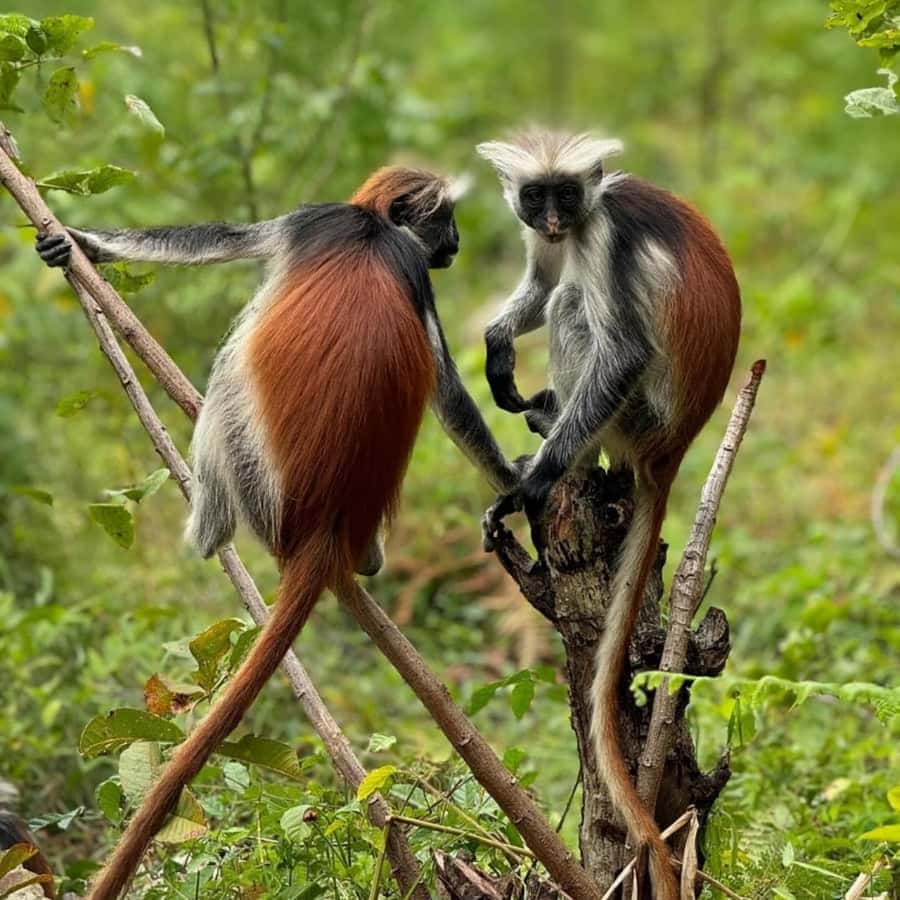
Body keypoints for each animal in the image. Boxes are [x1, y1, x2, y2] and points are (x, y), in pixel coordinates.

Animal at [37, 166, 519, 899]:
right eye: (447, 222)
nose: (458, 244)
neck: (372, 227)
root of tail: (326, 525)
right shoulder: (402, 264)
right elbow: (449, 392)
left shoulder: (311, 222)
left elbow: (225, 241)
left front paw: (87, 243)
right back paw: (368, 559)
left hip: (260, 478)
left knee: (230, 371)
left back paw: (205, 526)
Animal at [477, 131, 741, 900]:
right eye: (538, 196)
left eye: (569, 195)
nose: (553, 221)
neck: (585, 218)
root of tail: (674, 447)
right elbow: (538, 286)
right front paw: (497, 344)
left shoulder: (602, 238)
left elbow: (616, 347)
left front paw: (529, 488)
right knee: (560, 294)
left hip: (638, 414)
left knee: (575, 307)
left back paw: (558, 444)